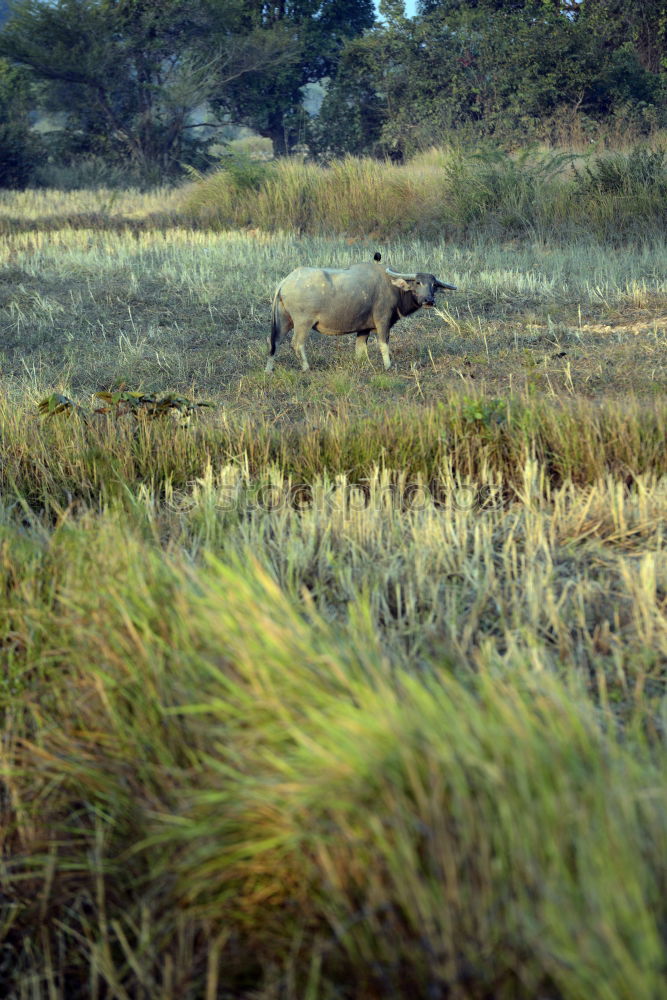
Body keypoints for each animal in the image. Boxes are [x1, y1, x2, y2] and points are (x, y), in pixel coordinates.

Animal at [264, 256, 456, 374]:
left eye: (434, 285)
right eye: (417, 282)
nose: (429, 300)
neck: (393, 287)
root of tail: (285, 281)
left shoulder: (364, 328)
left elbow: (360, 349)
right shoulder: (383, 321)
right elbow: (383, 344)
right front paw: (388, 365)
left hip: (284, 320)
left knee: (274, 343)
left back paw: (269, 369)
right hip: (303, 323)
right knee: (296, 344)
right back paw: (306, 367)